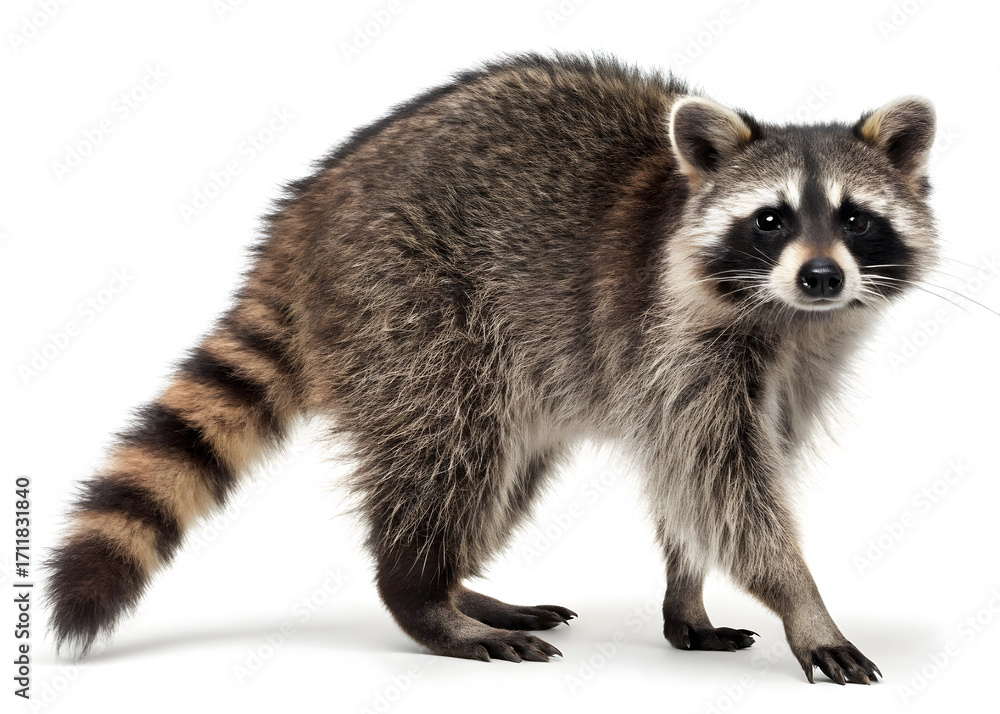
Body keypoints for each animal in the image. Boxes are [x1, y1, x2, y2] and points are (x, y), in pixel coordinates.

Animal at [47, 54, 936, 685]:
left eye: (856, 219)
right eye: (771, 219)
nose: (820, 277)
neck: (789, 317)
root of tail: (298, 225)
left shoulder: (794, 360)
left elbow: (696, 480)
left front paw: (687, 586)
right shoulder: (674, 338)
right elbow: (721, 482)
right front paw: (804, 602)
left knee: (505, 469)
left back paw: (454, 584)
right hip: (410, 308)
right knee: (450, 448)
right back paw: (420, 594)